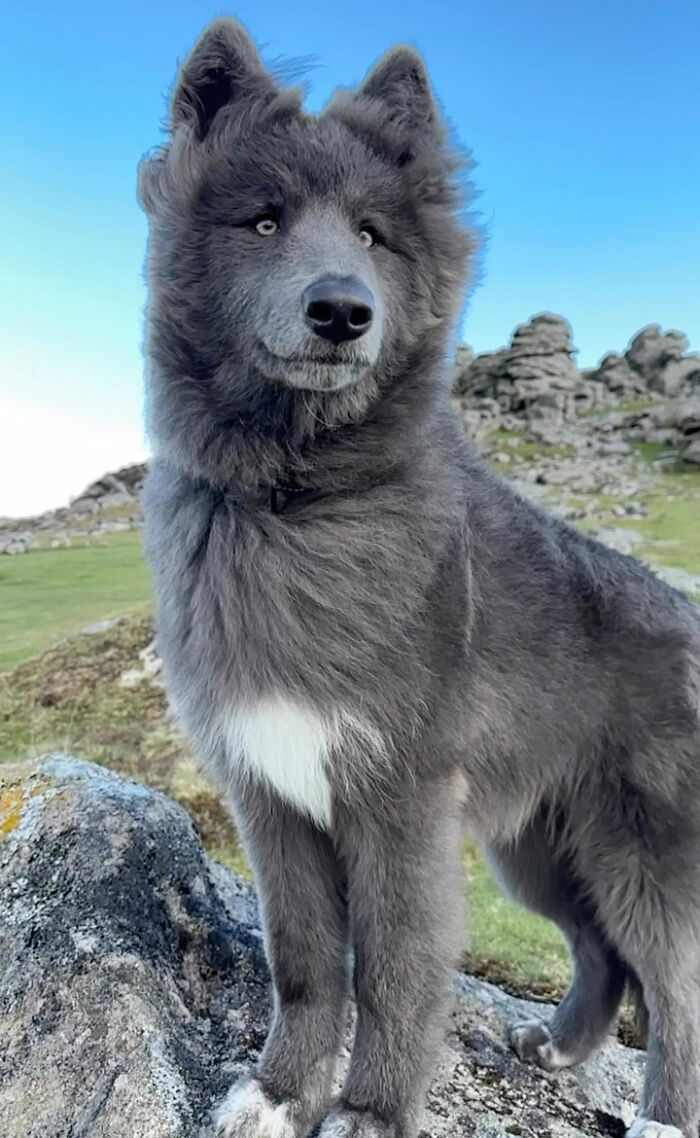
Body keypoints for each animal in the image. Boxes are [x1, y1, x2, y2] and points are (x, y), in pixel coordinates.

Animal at [138, 17, 700, 1138]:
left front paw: (369, 1109)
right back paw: (559, 1048)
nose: (341, 312)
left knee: (675, 987)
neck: (297, 503)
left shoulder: (400, 806)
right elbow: (307, 963)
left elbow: (394, 972)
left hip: (637, 853)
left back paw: (663, 1111)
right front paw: (282, 1090)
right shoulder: (274, 801)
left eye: (370, 236)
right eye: (263, 221)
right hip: (539, 849)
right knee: (602, 953)